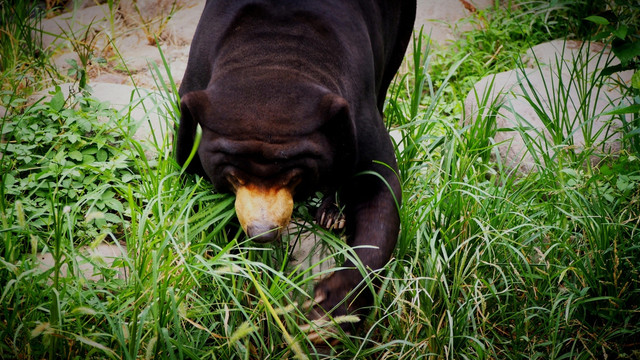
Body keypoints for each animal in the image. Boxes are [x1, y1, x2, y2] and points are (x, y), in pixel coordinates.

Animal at [176, 0, 416, 326]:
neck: (275, 58)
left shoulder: (358, 116)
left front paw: (332, 307)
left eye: (293, 176)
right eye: (234, 176)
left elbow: (380, 190)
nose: (262, 232)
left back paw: (331, 215)